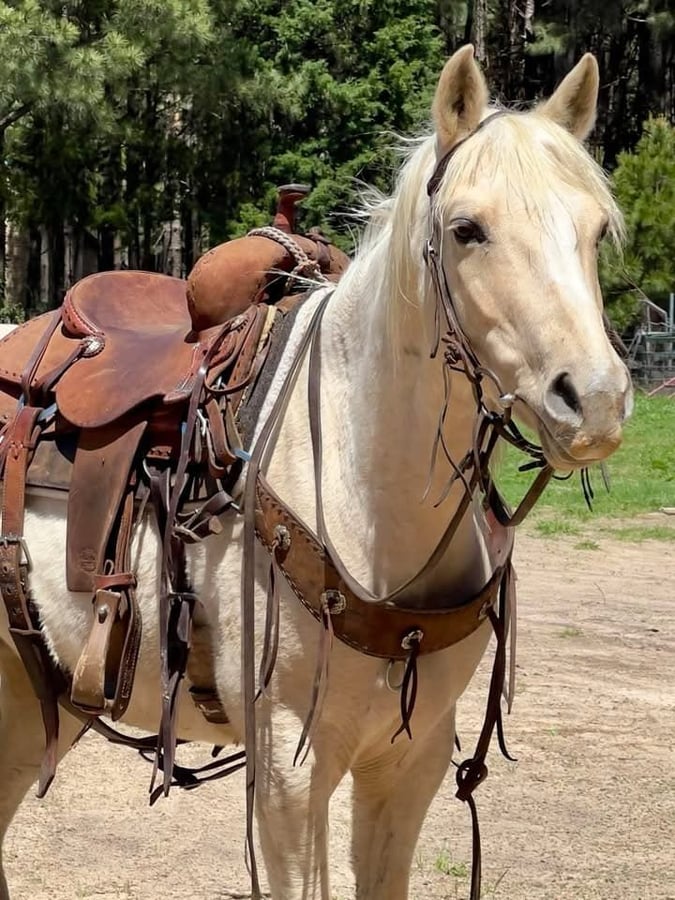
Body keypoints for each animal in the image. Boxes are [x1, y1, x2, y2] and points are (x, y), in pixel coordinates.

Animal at [0, 45, 632, 900]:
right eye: (466, 229)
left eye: (595, 229)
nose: (594, 400)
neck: (369, 495)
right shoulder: (289, 774)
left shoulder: (409, 763)